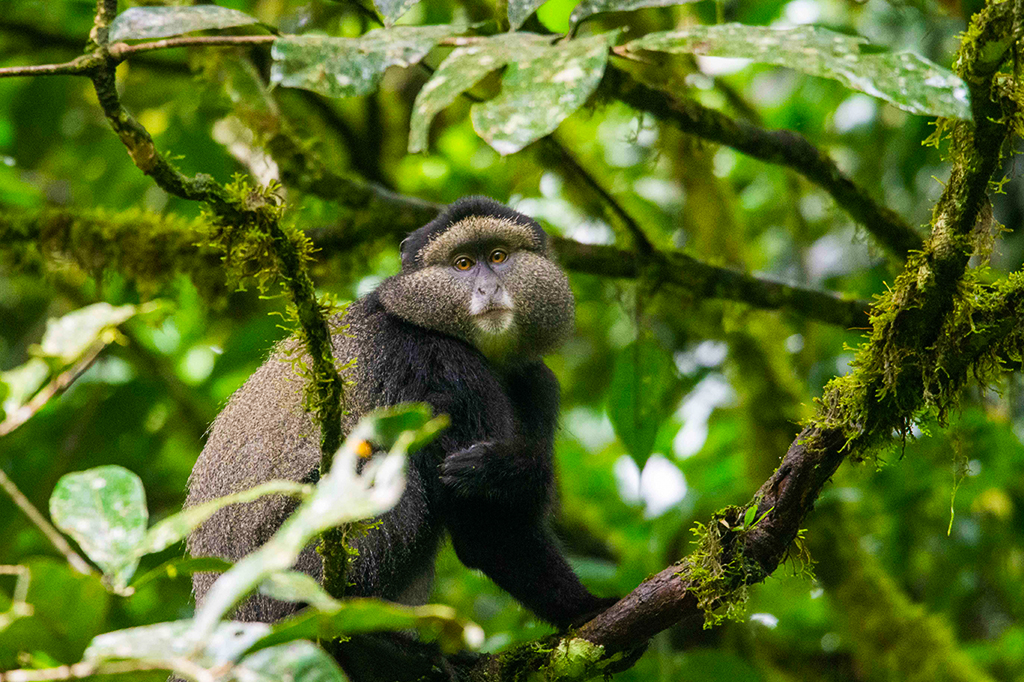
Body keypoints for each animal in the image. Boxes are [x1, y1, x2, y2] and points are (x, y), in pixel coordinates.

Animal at [186, 196, 615, 645]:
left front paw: (507, 469)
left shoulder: (537, 383)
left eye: (498, 257)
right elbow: (483, 525)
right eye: (463, 264)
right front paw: (587, 607)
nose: (488, 289)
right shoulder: (440, 364)